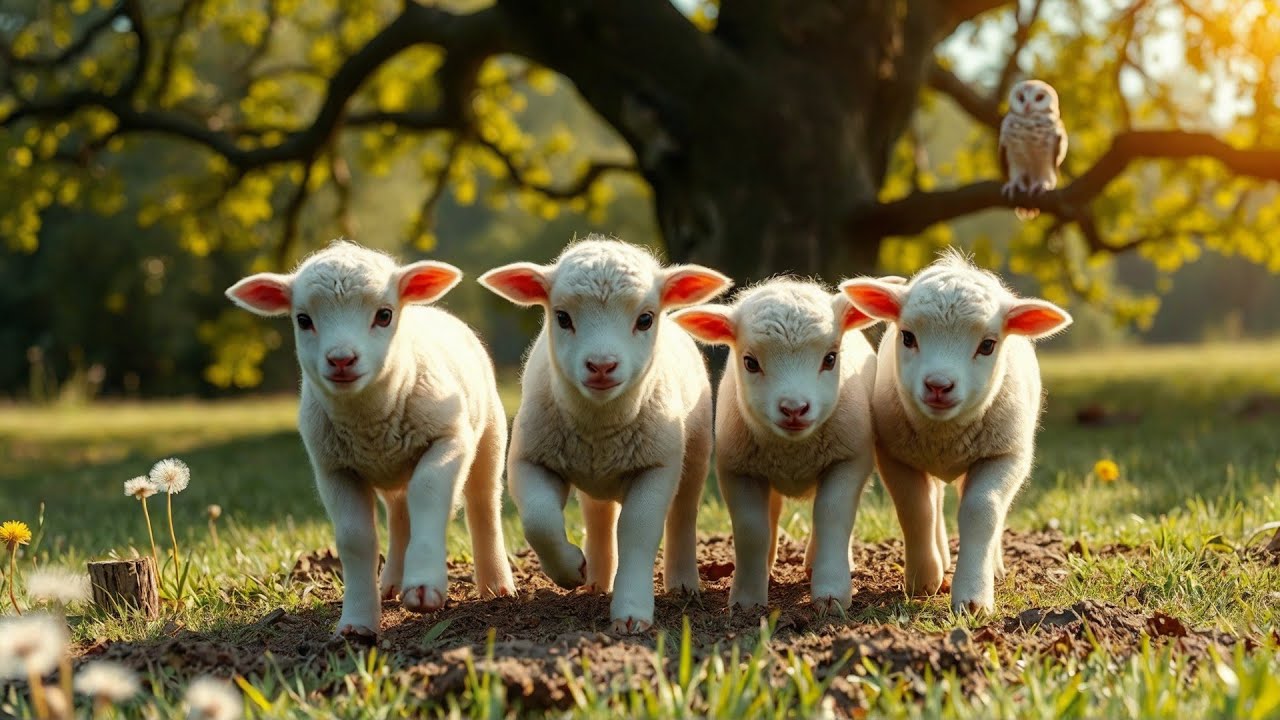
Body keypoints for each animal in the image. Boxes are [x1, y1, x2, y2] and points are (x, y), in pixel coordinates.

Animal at [225, 240, 516, 639]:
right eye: (303, 320)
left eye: (384, 315)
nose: (341, 360)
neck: (369, 420)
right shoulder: (333, 468)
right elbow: (355, 538)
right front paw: (357, 623)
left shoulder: (448, 440)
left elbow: (428, 496)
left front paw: (424, 587)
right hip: (393, 469)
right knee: (399, 513)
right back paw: (391, 582)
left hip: (489, 432)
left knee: (483, 503)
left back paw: (495, 585)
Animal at [479, 236, 731, 633]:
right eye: (562, 317)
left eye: (645, 319)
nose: (601, 365)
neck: (600, 424)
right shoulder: (528, 459)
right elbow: (539, 521)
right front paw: (570, 570)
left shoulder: (657, 467)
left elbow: (638, 531)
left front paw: (631, 613)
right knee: (598, 515)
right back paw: (596, 579)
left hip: (695, 451)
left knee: (683, 513)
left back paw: (682, 583)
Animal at [672, 279, 881, 613]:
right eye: (750, 362)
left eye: (830, 358)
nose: (794, 408)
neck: (792, 450)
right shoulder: (737, 470)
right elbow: (751, 529)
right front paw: (746, 601)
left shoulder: (849, 460)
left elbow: (832, 515)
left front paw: (831, 595)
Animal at [839, 250, 1072, 614]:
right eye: (908, 337)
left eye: (988, 345)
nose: (938, 385)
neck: (944, 433)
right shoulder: (894, 455)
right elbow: (915, 508)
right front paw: (923, 580)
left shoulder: (1005, 456)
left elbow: (982, 511)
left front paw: (973, 598)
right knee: (934, 500)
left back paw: (994, 565)